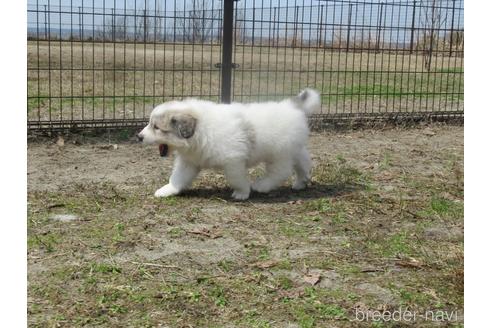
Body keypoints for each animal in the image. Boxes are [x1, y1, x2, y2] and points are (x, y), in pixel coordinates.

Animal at [136, 89, 320, 200]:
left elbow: (235, 178)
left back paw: (261, 185)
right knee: (304, 162)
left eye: (156, 127)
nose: (139, 137)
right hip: (294, 149)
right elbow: (178, 177)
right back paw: (301, 182)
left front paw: (242, 192)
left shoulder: (233, 161)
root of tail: (292, 106)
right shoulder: (189, 162)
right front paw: (167, 190)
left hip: (279, 153)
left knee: (281, 171)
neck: (200, 130)